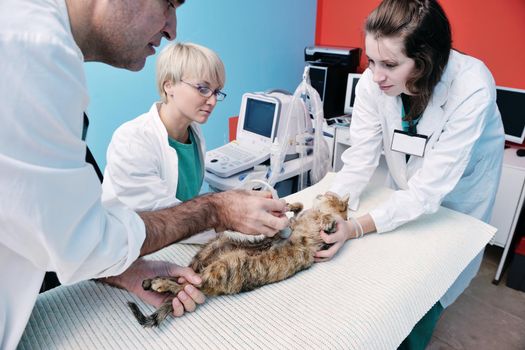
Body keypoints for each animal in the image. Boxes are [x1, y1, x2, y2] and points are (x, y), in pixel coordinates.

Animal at [127, 191, 348, 328]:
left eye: (330, 196)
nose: (320, 194)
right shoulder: (290, 223)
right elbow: (298, 208)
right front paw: (289, 204)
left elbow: (330, 221)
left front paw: (328, 220)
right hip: (216, 245)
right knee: (186, 276)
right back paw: (152, 280)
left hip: (224, 268)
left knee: (190, 285)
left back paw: (158, 283)